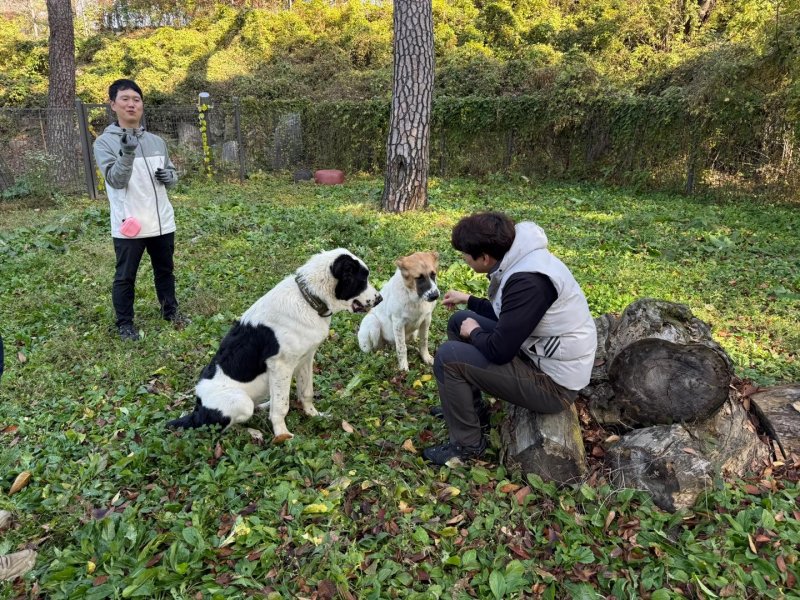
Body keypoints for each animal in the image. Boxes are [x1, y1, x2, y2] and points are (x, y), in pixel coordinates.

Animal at [168, 247, 382, 440]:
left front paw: (314, 415)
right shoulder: (281, 366)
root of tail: (197, 408)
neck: (308, 299)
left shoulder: (306, 359)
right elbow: (282, 406)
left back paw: (264, 407)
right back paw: (253, 431)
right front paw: (282, 435)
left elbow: (306, 392)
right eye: (362, 280)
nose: (379, 299)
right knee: (222, 429)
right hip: (240, 402)